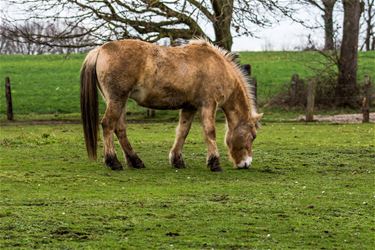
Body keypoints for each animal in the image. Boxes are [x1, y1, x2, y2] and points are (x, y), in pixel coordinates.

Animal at [81, 38, 262, 172]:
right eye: (252, 136)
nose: (246, 163)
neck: (217, 66)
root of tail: (100, 50)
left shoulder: (190, 107)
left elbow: (182, 132)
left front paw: (177, 160)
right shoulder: (208, 104)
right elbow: (210, 132)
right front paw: (214, 163)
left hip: (119, 102)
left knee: (119, 129)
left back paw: (135, 161)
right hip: (117, 100)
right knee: (107, 125)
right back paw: (113, 162)